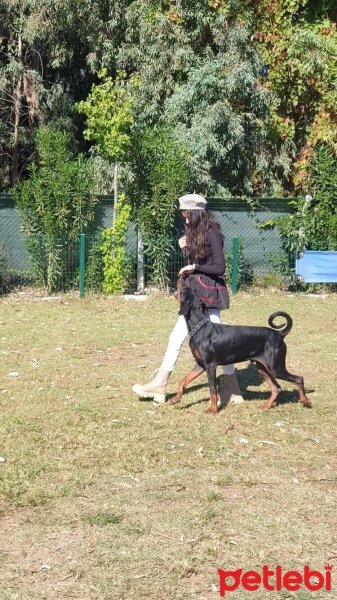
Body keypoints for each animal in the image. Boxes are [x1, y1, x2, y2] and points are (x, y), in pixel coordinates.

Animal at [169, 282, 312, 412]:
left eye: (183, 290)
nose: (183, 279)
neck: (199, 328)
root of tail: (279, 334)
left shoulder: (210, 365)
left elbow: (212, 390)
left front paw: (213, 409)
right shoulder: (200, 365)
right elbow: (183, 380)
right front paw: (175, 399)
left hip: (276, 368)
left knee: (298, 379)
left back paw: (305, 401)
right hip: (262, 368)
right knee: (276, 388)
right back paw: (266, 405)